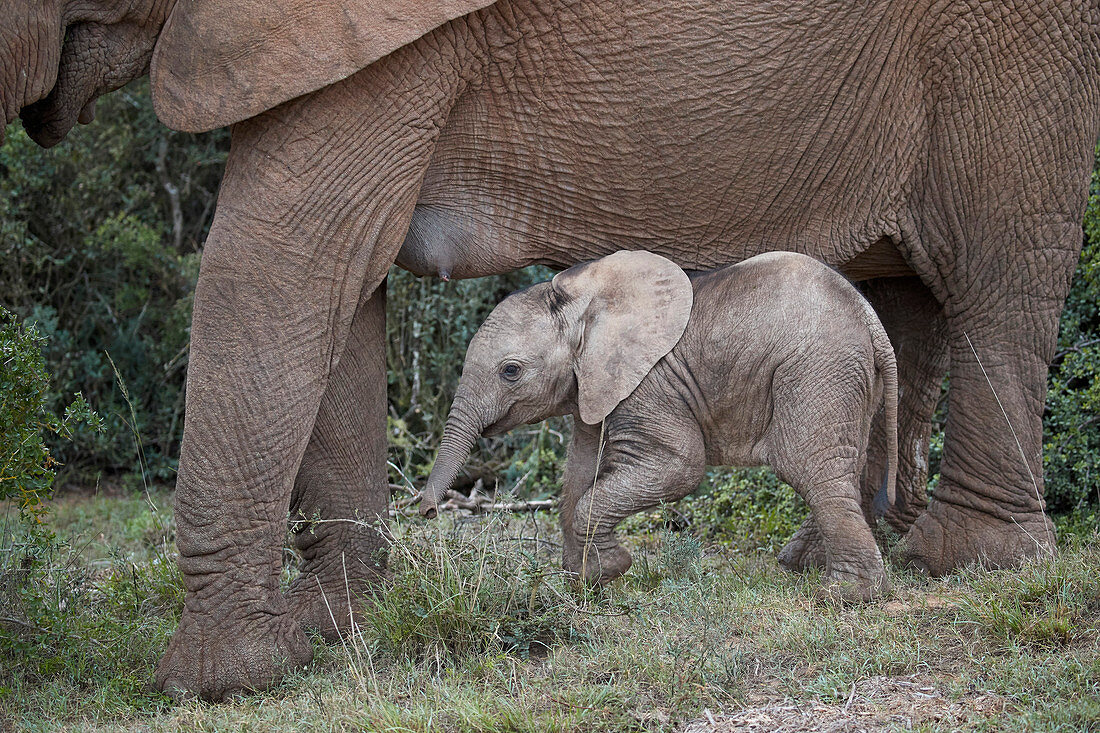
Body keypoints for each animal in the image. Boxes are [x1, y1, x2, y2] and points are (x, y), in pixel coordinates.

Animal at [420, 248, 893, 598]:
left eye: (511, 371)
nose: (427, 512)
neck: (582, 304)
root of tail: (869, 317)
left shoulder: (649, 385)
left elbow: (678, 467)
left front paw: (609, 570)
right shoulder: (595, 385)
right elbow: (578, 474)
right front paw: (582, 583)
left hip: (817, 368)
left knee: (808, 467)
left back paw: (844, 593)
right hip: (846, 378)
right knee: (841, 468)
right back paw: (799, 564)